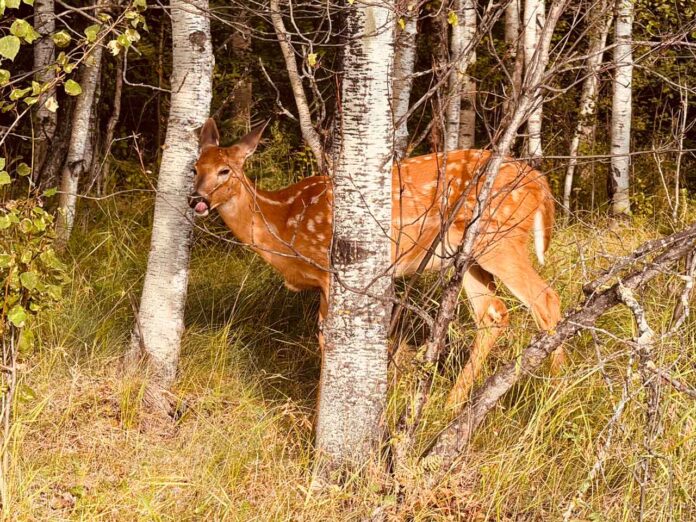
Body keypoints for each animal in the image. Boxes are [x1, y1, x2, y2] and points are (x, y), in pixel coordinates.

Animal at [188, 120, 564, 408]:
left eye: (225, 170)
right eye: (194, 168)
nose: (197, 199)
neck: (282, 223)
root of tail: (541, 184)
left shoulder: (330, 270)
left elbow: (328, 340)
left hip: (500, 238)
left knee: (545, 299)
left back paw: (555, 393)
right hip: (467, 254)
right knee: (493, 313)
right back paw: (450, 403)